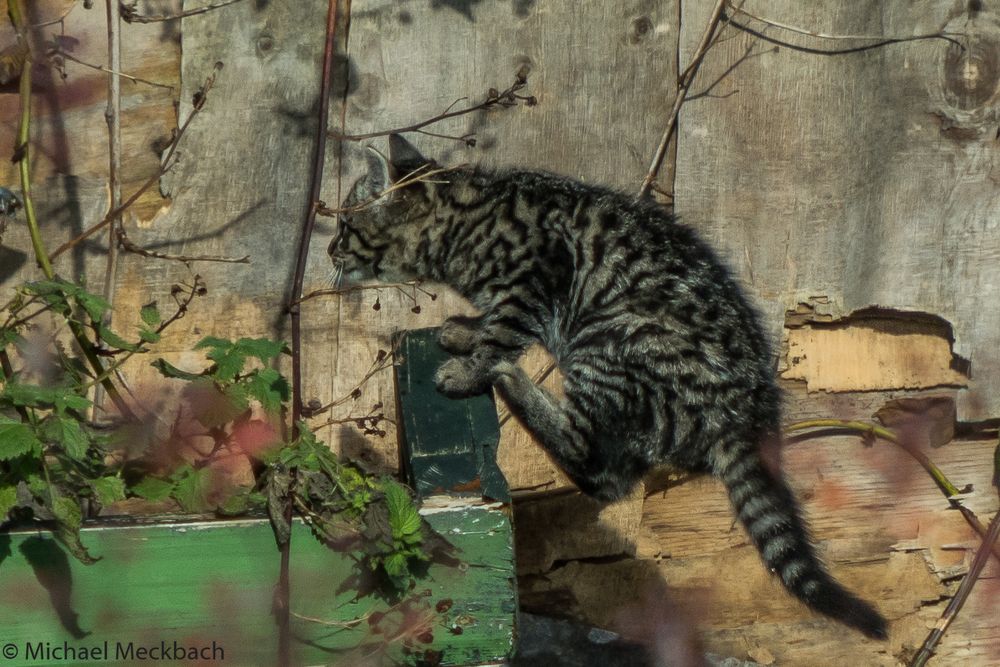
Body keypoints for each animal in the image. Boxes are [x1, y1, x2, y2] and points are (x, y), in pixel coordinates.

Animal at [332, 133, 888, 640]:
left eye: (345, 225)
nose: (331, 248)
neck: (463, 226)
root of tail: (746, 416)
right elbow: (490, 324)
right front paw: (465, 330)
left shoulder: (534, 279)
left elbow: (501, 333)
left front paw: (470, 366)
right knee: (615, 473)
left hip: (610, 344)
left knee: (596, 466)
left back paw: (513, 382)